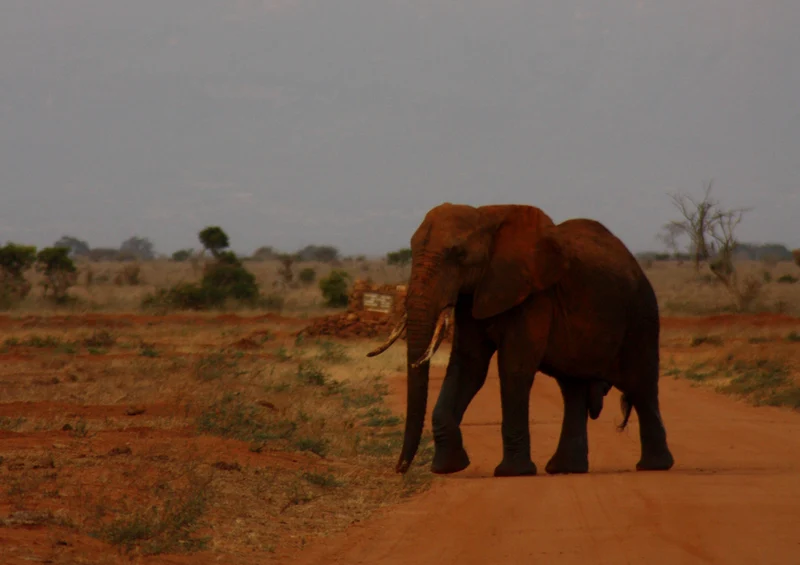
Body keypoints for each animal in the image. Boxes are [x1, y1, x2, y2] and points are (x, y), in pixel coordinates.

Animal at [367, 202, 674, 477]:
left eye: (458, 254)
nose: (400, 469)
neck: (485, 218)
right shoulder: (474, 293)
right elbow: (468, 366)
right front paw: (448, 468)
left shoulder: (533, 295)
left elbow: (513, 368)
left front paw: (512, 473)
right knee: (573, 389)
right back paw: (565, 469)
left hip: (642, 315)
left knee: (642, 386)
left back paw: (654, 466)